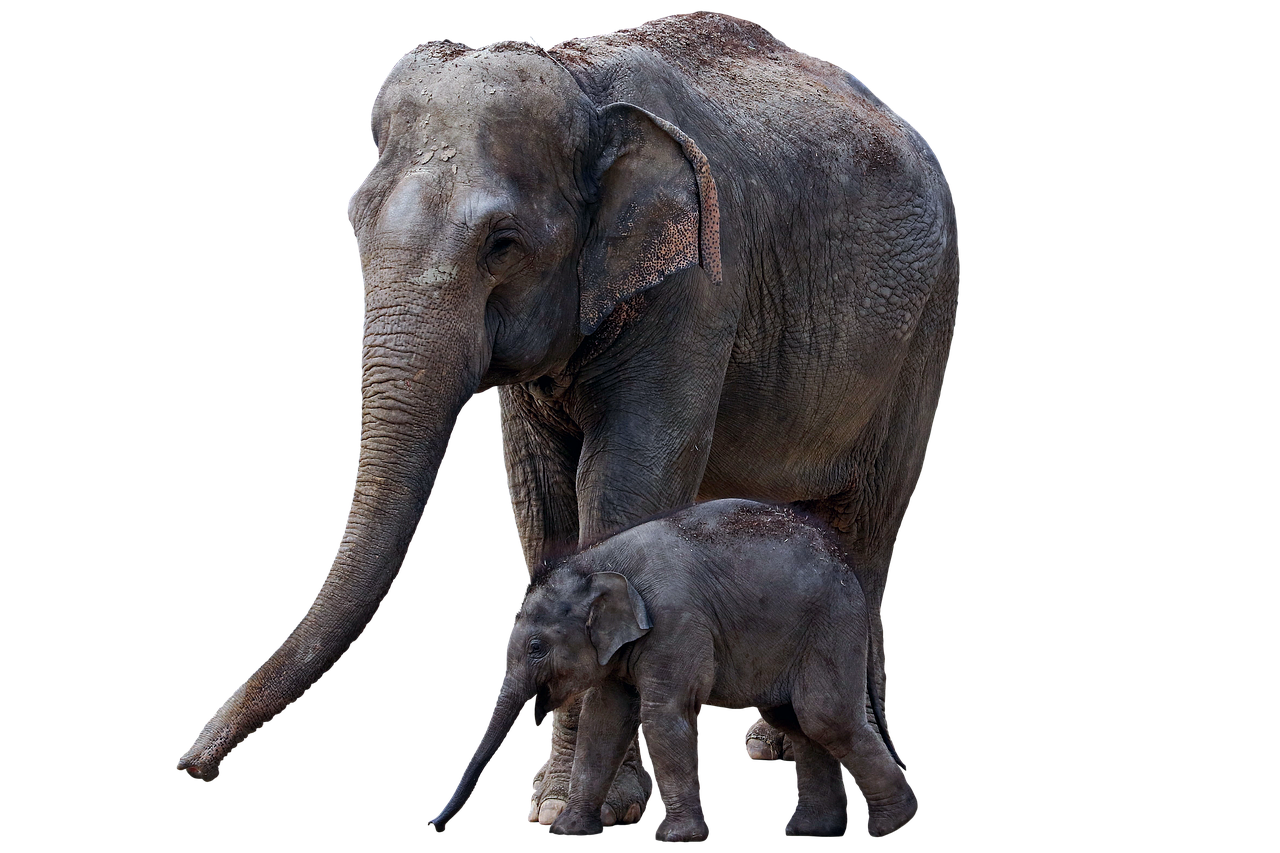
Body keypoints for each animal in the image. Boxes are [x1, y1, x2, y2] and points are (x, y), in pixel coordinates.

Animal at [426, 499, 918, 841]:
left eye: (535, 648)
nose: (432, 826)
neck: (599, 561)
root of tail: (852, 569)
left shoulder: (675, 622)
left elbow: (662, 715)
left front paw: (675, 838)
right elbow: (604, 721)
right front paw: (567, 831)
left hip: (830, 625)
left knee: (823, 716)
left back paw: (894, 824)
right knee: (794, 718)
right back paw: (812, 831)